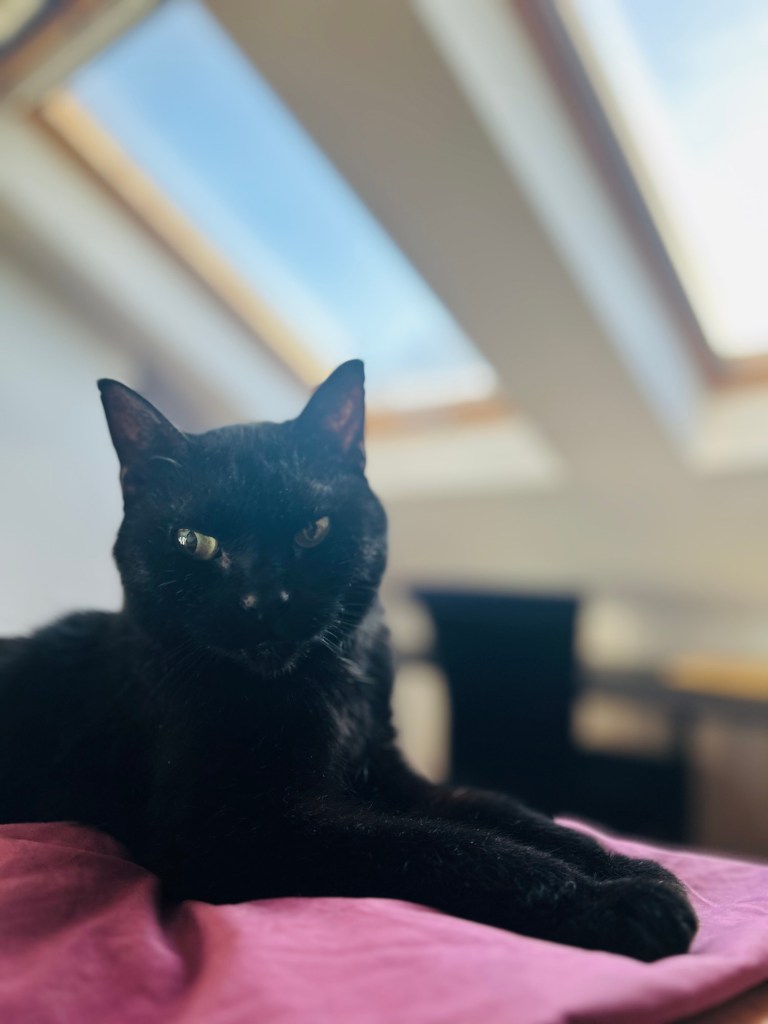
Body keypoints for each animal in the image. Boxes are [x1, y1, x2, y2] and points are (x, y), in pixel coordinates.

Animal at [0, 359, 696, 961]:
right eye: (194, 541)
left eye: (314, 530)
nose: (262, 600)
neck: (326, 688)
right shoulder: (224, 831)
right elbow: (436, 844)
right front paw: (613, 902)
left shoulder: (388, 771)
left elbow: (499, 809)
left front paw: (633, 867)